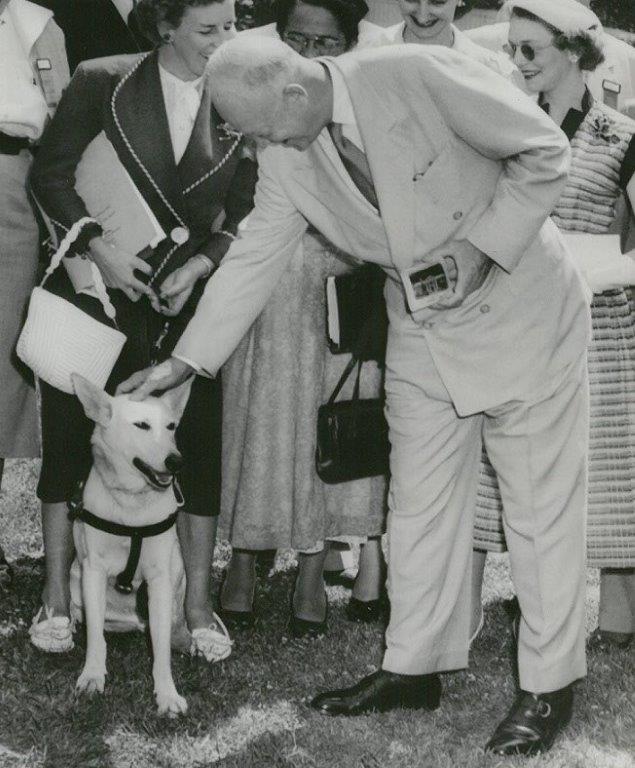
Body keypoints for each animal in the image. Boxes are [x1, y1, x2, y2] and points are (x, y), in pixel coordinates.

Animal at [66, 376, 234, 716]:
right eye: (141, 425)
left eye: (171, 426)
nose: (176, 461)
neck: (132, 506)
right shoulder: (93, 570)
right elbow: (96, 639)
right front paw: (92, 676)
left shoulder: (159, 578)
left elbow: (161, 651)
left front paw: (167, 694)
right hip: (76, 577)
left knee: (172, 628)